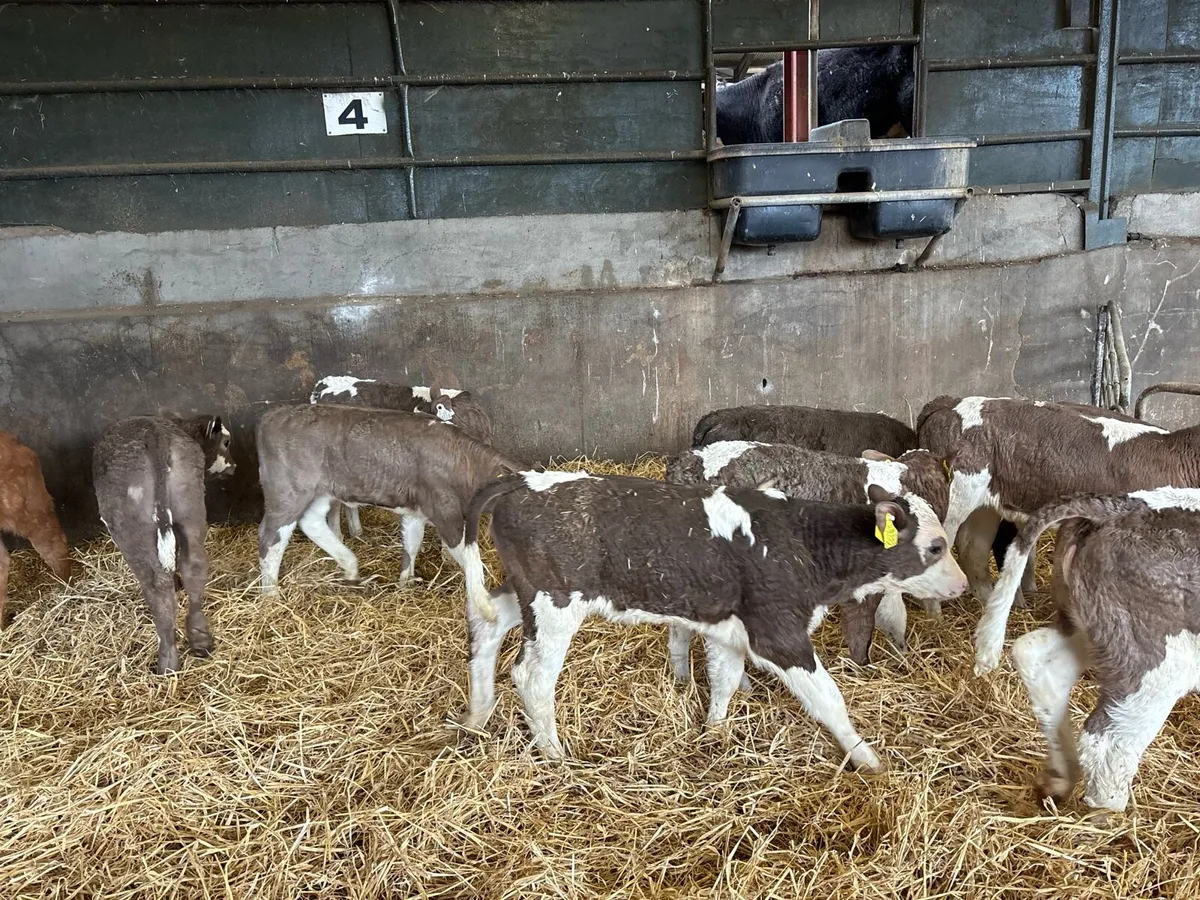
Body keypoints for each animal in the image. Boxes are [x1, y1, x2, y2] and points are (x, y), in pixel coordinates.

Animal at [93, 414, 235, 674]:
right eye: (226, 442)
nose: (234, 466)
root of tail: (153, 432)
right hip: (190, 508)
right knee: (194, 566)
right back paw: (200, 639)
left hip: (134, 532)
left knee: (156, 586)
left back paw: (167, 660)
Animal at [255, 403, 524, 622]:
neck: (462, 462)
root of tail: (273, 414)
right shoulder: (445, 512)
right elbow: (470, 558)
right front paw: (487, 607)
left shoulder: (415, 511)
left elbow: (412, 544)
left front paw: (406, 583)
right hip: (287, 491)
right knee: (271, 538)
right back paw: (271, 594)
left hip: (321, 492)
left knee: (311, 522)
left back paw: (350, 566)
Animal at [458, 470, 968, 768]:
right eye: (935, 547)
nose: (963, 585)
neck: (805, 545)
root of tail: (524, 480)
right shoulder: (778, 634)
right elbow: (829, 700)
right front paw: (869, 761)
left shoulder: (729, 630)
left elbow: (724, 680)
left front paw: (715, 734)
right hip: (555, 603)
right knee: (532, 677)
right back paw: (556, 757)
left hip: (525, 592)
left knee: (487, 627)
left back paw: (476, 717)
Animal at [992, 488, 1200, 813]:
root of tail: (1120, 507)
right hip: (1156, 662)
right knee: (1106, 740)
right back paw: (1107, 813)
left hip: (1090, 627)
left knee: (1036, 656)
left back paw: (1060, 779)